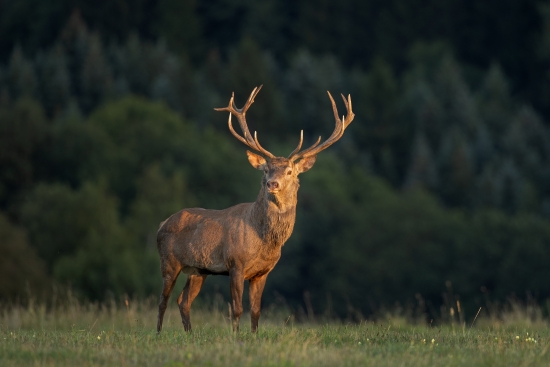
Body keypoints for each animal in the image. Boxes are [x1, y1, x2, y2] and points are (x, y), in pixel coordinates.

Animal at [156, 85, 354, 334]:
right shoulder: (235, 263)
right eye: (266, 170)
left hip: (198, 270)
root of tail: (161, 224)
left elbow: (257, 311)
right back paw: (158, 334)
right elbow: (237, 309)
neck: (264, 241)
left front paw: (254, 336)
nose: (272, 183)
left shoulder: (263, 272)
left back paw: (190, 335)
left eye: (289, 171)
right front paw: (236, 337)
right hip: (169, 261)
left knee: (183, 301)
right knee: (163, 300)